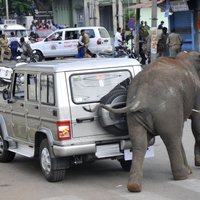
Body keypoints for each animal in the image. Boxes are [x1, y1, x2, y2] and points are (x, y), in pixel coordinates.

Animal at [83, 51, 200, 192]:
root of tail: (141, 97)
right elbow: (197, 123)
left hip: (135, 116)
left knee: (139, 143)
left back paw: (134, 186)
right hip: (167, 109)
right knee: (172, 138)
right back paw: (182, 176)